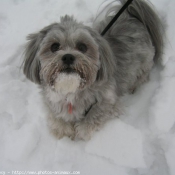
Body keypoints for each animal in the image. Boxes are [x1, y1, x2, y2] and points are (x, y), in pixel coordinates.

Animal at [22, 0, 164, 140]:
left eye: (82, 47)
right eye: (54, 46)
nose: (68, 57)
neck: (71, 91)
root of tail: (131, 14)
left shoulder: (108, 102)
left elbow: (93, 117)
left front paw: (81, 130)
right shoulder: (52, 103)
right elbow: (57, 118)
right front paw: (64, 129)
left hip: (143, 63)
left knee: (141, 76)